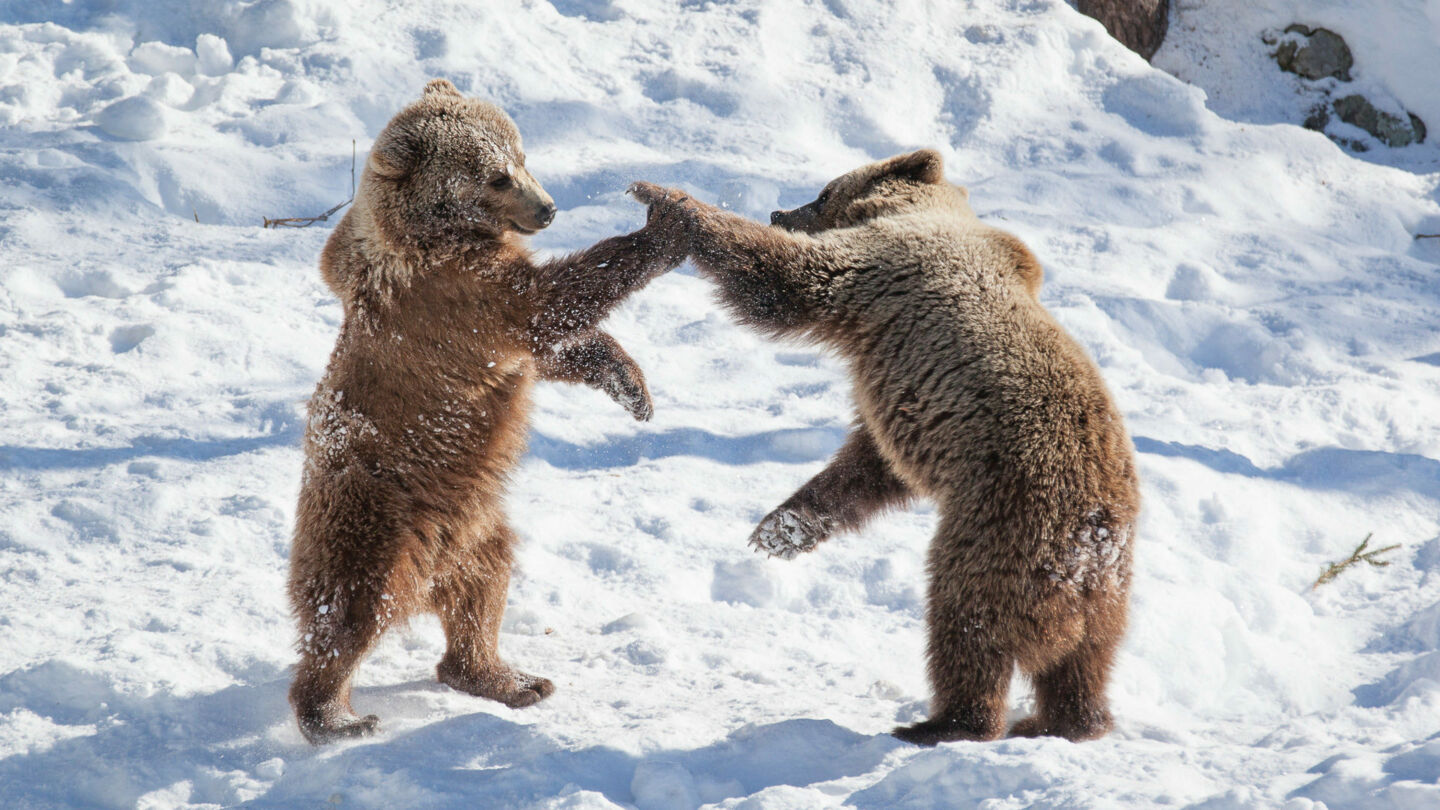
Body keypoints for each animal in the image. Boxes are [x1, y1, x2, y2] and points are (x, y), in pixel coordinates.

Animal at [288, 78, 685, 743]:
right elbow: (551, 302)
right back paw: (335, 715)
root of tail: (426, 574)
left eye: (521, 154)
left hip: (474, 529)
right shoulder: (453, 294)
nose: (548, 209)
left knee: (484, 590)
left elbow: (548, 348)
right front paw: (667, 224)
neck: (436, 235)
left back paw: (508, 678)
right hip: (373, 517)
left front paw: (632, 385)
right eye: (495, 176)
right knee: (349, 610)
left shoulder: (470, 311)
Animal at [636, 148, 1140, 743]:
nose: (782, 210)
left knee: (966, 622)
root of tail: (1089, 540)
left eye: (824, 192)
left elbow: (783, 279)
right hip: (1108, 588)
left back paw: (944, 723)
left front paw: (666, 197)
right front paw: (781, 529)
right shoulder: (912, 413)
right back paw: (1063, 722)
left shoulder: (877, 273)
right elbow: (867, 468)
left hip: (998, 529)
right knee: (1085, 660)